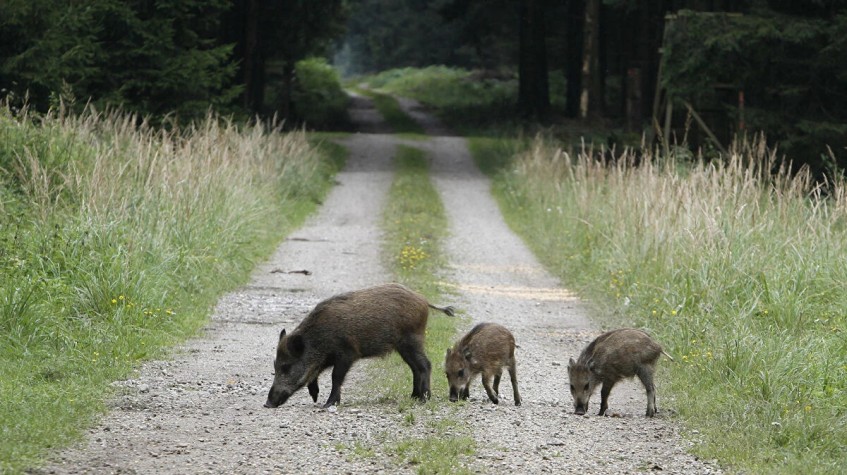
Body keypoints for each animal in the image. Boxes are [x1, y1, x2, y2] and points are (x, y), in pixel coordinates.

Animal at [264, 283, 455, 409]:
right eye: (275, 365)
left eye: (286, 367)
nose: (267, 404)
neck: (318, 339)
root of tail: (424, 300)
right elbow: (315, 374)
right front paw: (315, 397)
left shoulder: (347, 353)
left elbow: (335, 377)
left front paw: (327, 404)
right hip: (403, 347)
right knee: (415, 368)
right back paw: (414, 396)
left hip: (412, 340)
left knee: (425, 365)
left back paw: (424, 399)